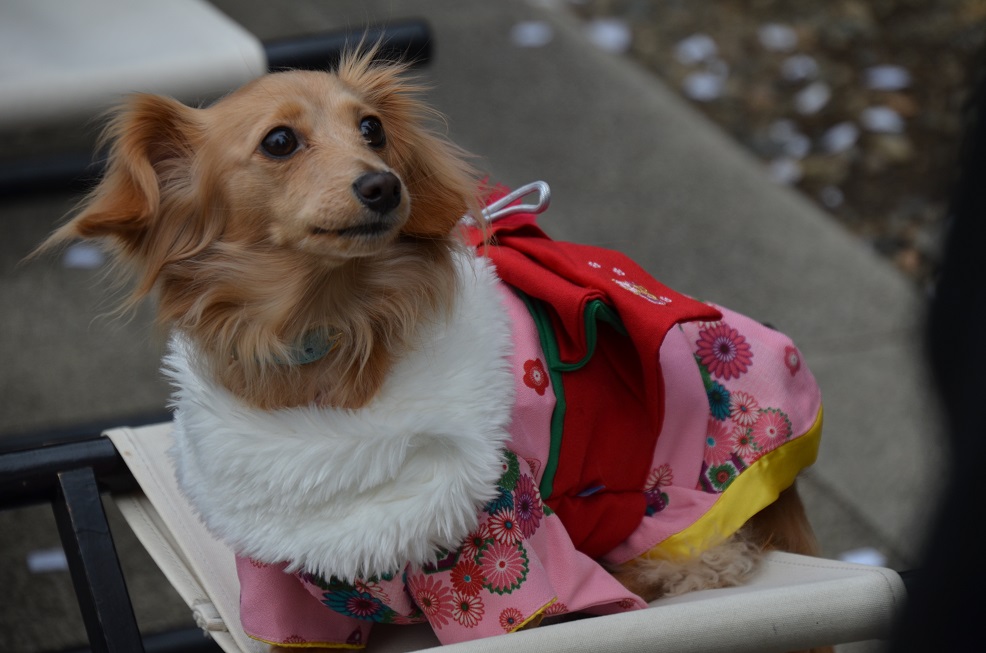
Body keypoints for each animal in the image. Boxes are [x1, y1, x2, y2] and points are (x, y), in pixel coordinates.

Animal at [36, 48, 824, 648]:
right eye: (280, 141)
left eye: (373, 129)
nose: (383, 186)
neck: (334, 335)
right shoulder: (282, 569)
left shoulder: (495, 536)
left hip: (685, 507)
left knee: (709, 560)